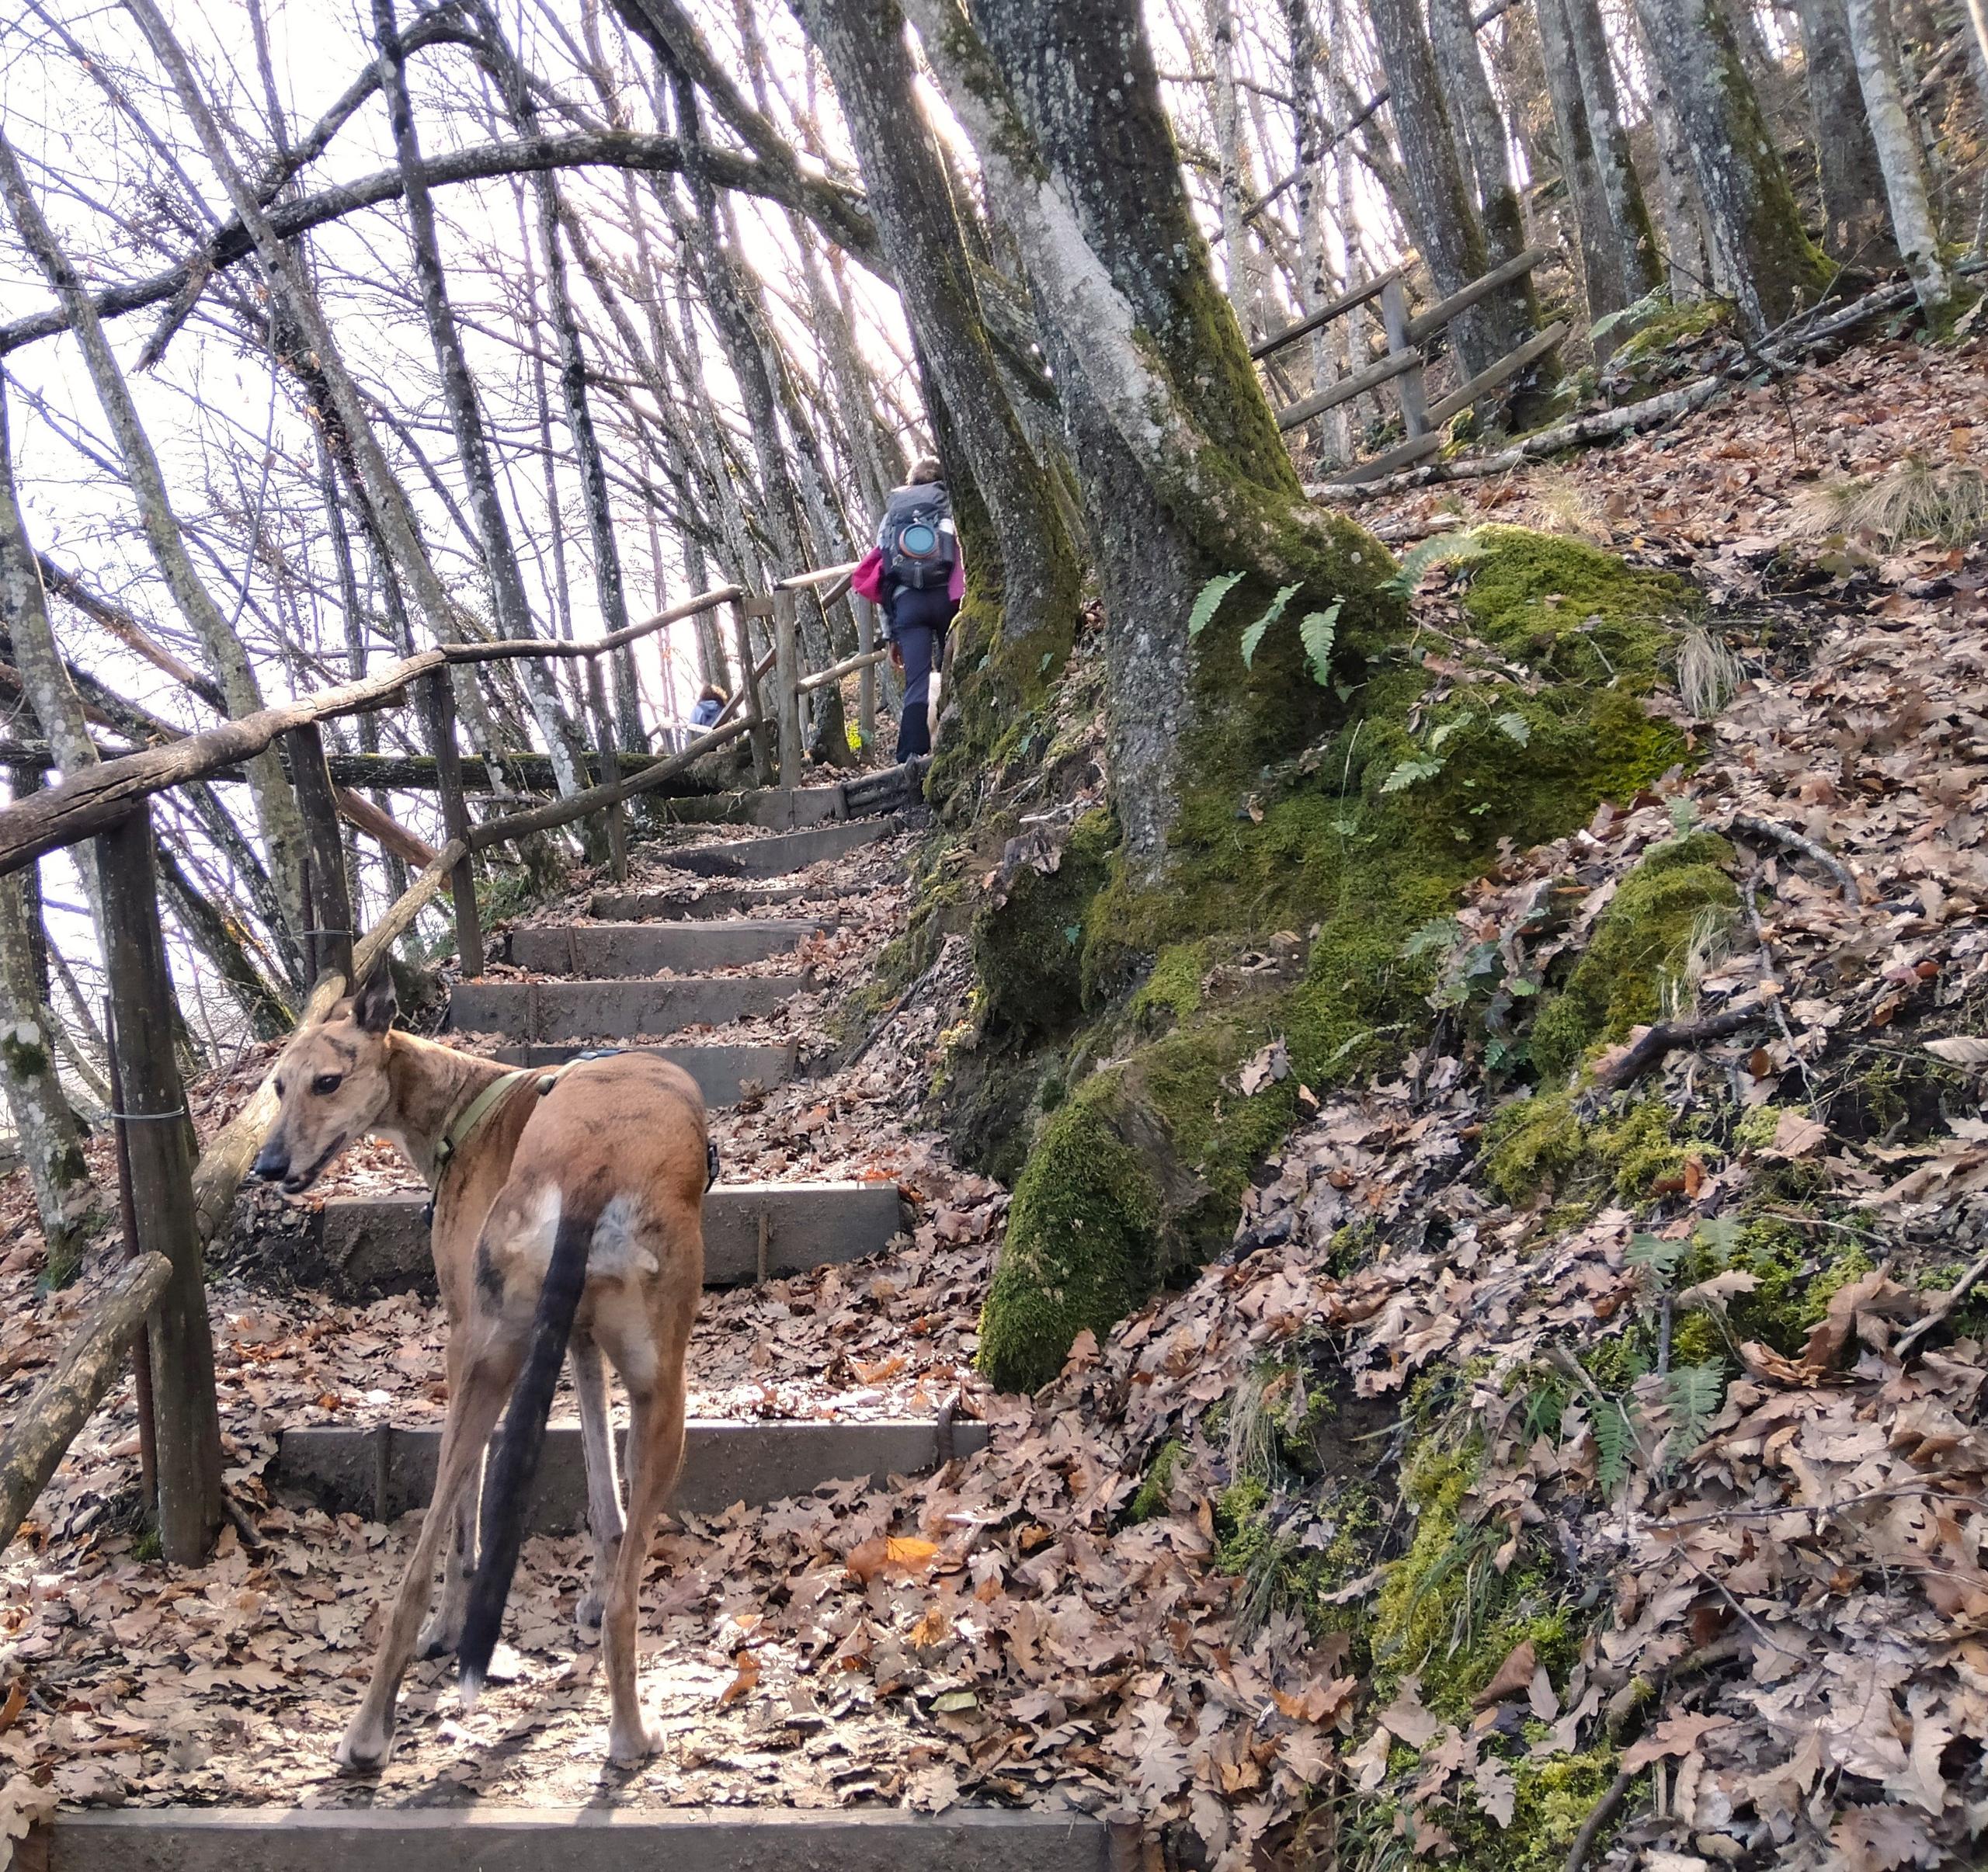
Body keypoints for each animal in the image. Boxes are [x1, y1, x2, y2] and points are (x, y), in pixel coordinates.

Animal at [252, 974, 711, 1780]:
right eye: (278, 1085)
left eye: (326, 1082)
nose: (268, 1167)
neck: (466, 1101)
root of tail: (591, 1165)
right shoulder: (530, 1341)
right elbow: (584, 1504)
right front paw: (583, 1599)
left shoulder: (513, 1339)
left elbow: (545, 1501)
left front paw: (475, 1621)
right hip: (647, 1389)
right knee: (625, 1593)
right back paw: (628, 1731)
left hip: (504, 1365)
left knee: (416, 1560)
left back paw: (369, 1732)